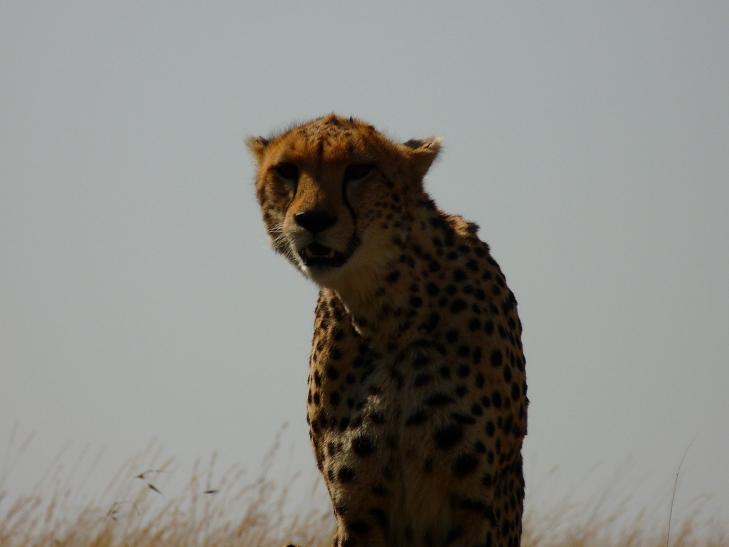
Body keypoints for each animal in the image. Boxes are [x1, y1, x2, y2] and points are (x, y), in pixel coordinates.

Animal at [248, 114, 527, 547]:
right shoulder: (357, 510)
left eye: (359, 170)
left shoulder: (480, 509)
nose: (313, 219)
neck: (388, 314)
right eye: (287, 170)